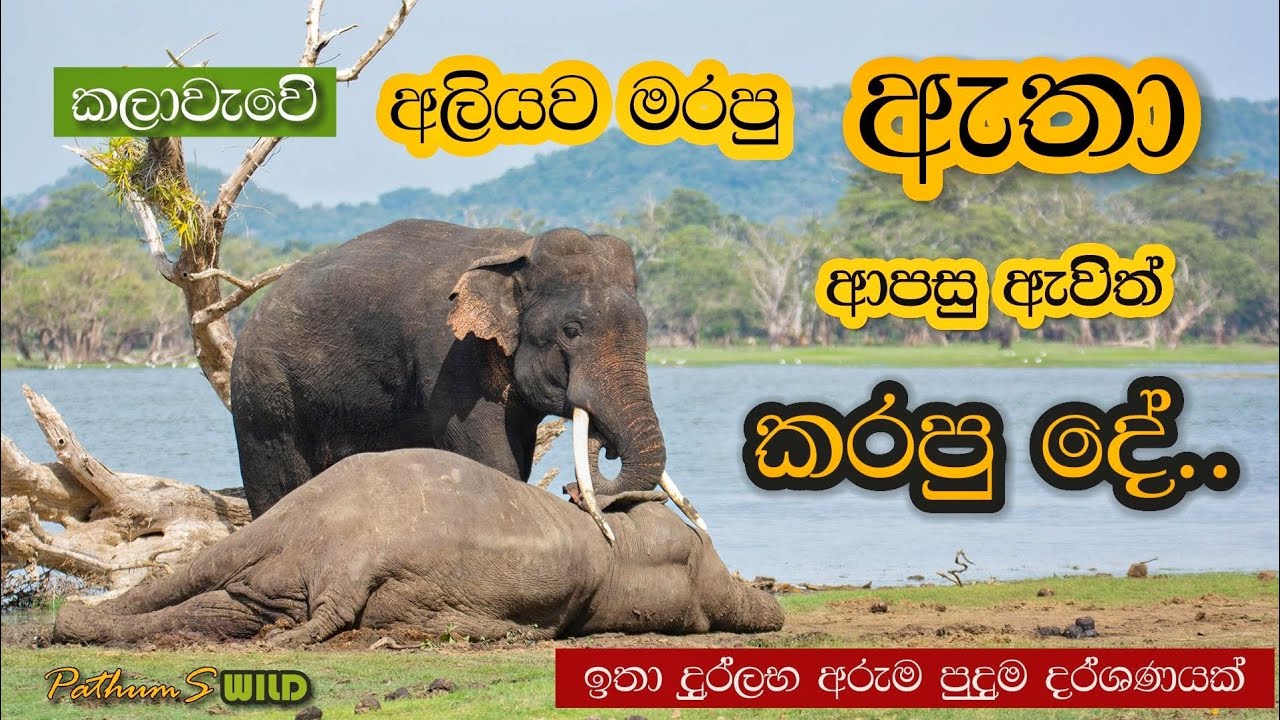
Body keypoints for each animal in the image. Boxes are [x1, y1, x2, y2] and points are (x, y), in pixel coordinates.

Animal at [230, 220, 703, 538]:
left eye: (644, 329)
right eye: (571, 331)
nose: (571, 488)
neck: (516, 252)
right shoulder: (447, 356)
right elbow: (490, 455)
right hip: (265, 394)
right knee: (277, 481)